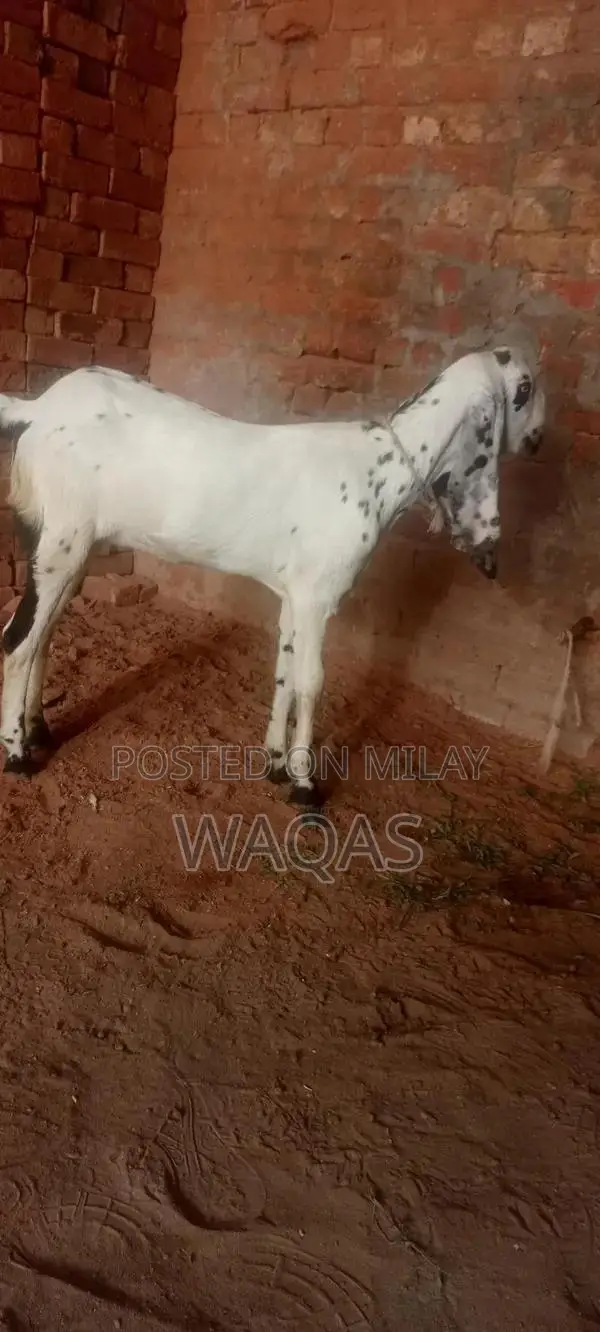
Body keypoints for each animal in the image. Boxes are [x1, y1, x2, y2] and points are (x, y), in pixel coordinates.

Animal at [0, 345, 544, 805]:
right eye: (524, 388)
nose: (539, 441)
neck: (379, 472)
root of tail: (37, 409)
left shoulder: (293, 596)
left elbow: (284, 673)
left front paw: (276, 763)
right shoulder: (318, 597)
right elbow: (311, 681)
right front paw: (305, 785)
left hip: (71, 546)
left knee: (44, 633)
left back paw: (39, 728)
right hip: (62, 540)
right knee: (17, 639)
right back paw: (17, 754)